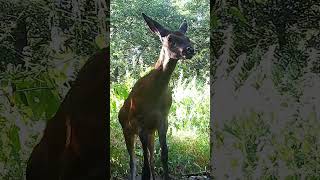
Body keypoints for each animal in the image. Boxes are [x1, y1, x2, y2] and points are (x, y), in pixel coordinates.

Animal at [118, 13, 195, 179]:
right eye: (170, 38)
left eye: (188, 38)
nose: (190, 49)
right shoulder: (139, 121)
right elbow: (144, 162)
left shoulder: (163, 120)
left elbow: (164, 154)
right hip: (127, 129)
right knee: (133, 161)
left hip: (150, 133)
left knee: (151, 157)